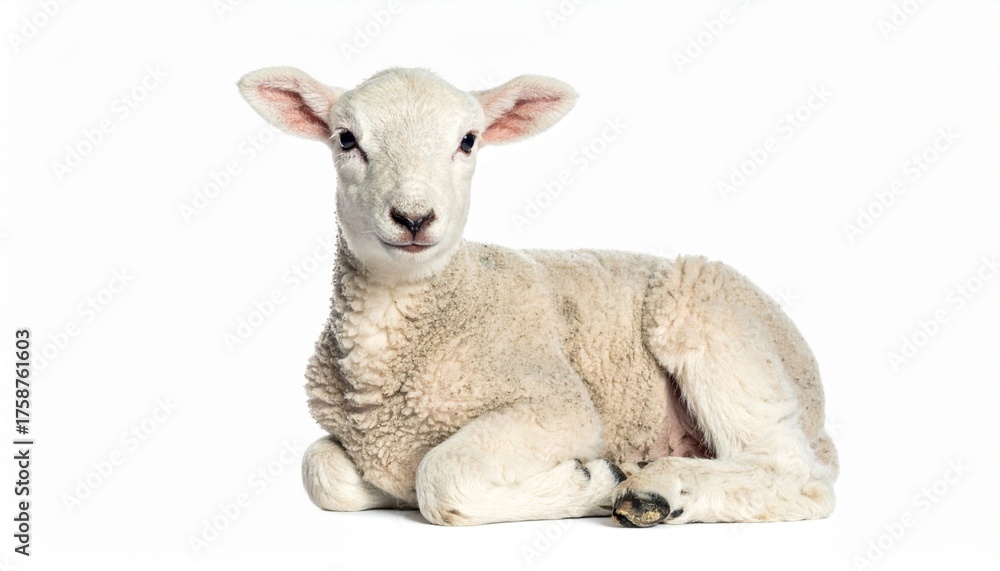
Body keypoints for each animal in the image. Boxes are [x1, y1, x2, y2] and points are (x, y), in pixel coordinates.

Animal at [237, 66, 839, 527]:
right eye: (346, 139)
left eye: (468, 140)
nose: (413, 217)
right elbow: (321, 470)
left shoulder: (557, 404)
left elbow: (441, 476)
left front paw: (593, 478)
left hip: (705, 313)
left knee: (800, 477)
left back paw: (652, 490)